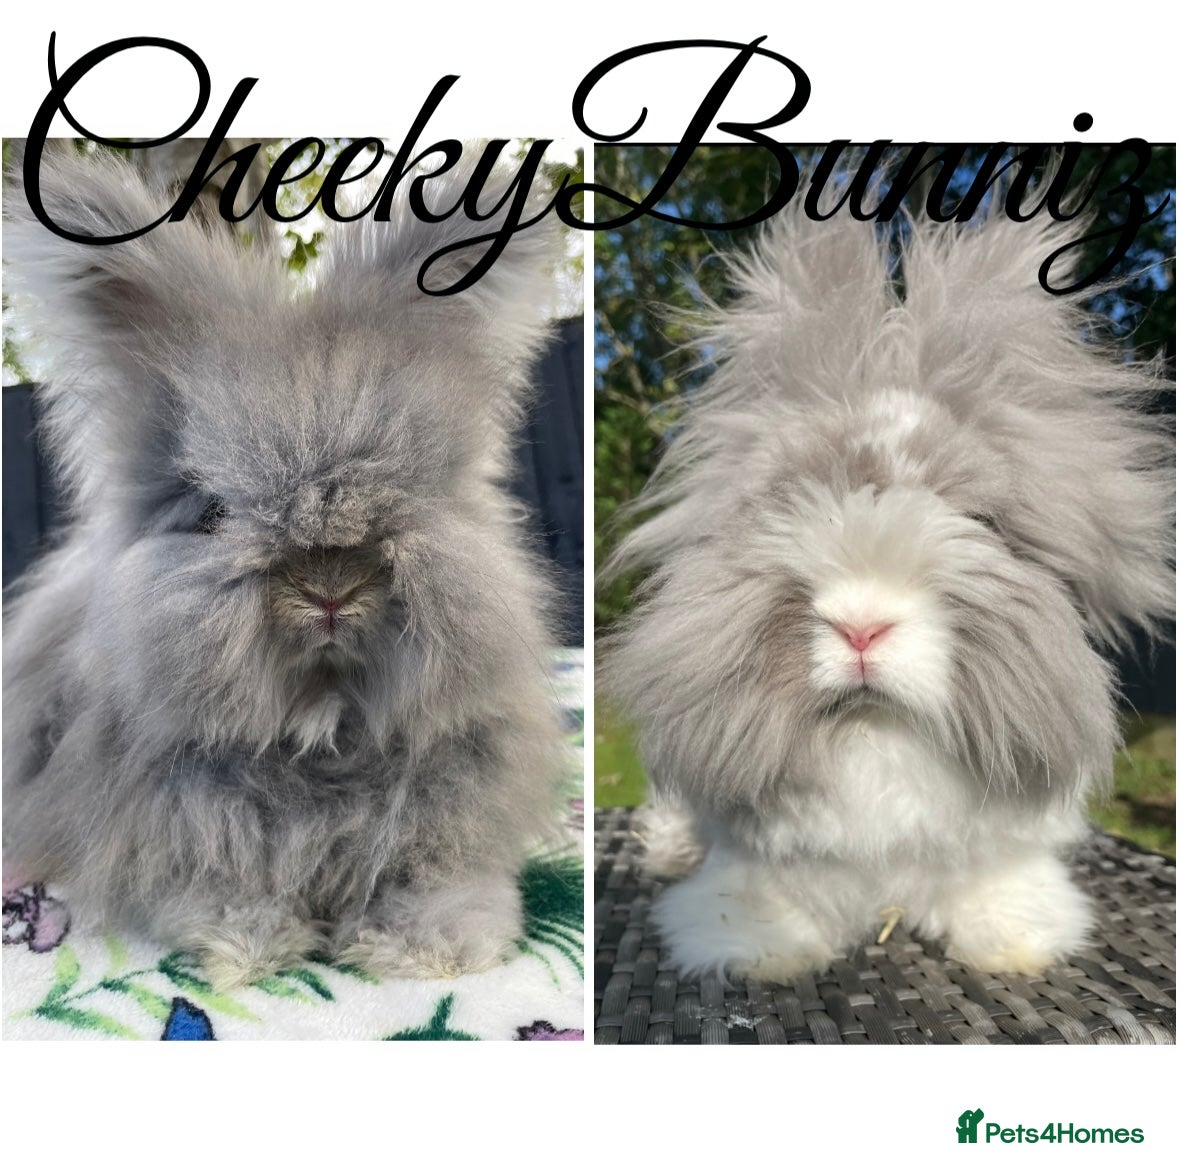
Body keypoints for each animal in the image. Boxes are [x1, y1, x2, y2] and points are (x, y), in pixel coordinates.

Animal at [2, 145, 567, 989]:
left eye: (416, 492)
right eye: (212, 513)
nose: (329, 589)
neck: (322, 728)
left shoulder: (443, 832)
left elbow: (440, 887)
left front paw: (426, 954)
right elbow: (220, 890)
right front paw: (243, 950)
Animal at [601, 202, 1174, 982]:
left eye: (978, 521)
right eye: (794, 503)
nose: (861, 627)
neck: (878, 735)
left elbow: (1000, 887)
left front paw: (1017, 943)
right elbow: (757, 896)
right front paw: (756, 949)